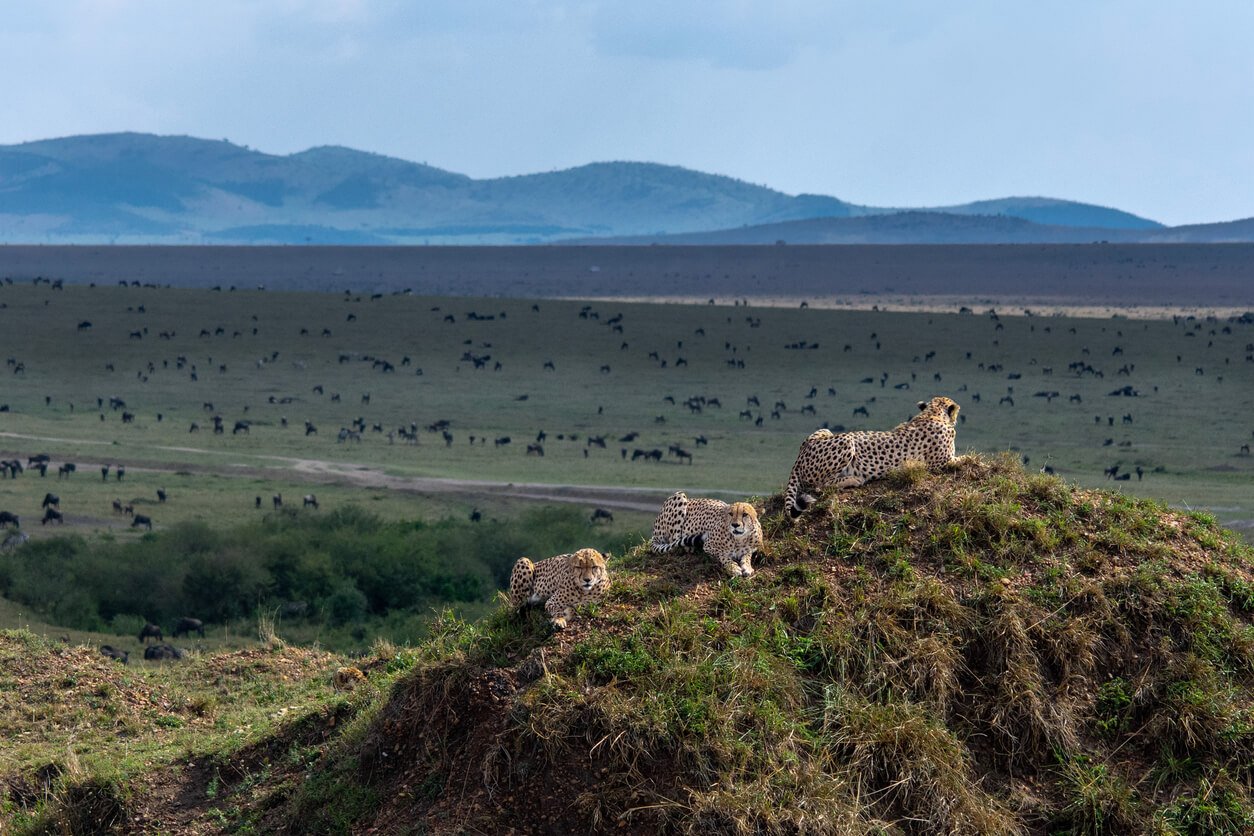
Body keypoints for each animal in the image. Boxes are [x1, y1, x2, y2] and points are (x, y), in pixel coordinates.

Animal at [782, 396, 958, 518]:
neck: (932, 414)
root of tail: (799, 456)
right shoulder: (942, 462)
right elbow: (963, 459)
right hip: (847, 440)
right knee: (820, 486)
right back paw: (854, 479)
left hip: (825, 431)